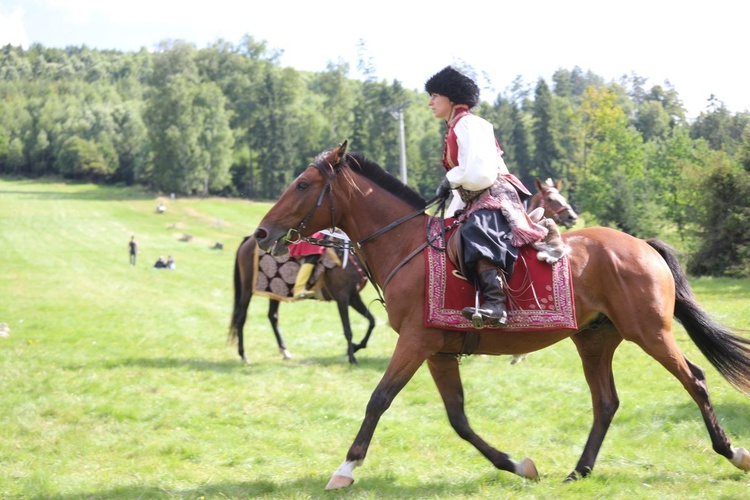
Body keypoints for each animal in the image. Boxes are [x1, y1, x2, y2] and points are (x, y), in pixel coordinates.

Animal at [228, 234, 376, 364]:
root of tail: (248, 240)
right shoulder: (342, 298)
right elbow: (348, 330)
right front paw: (352, 357)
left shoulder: (353, 297)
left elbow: (372, 321)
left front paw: (357, 347)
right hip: (248, 288)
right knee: (241, 317)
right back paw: (243, 355)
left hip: (275, 289)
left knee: (272, 316)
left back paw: (284, 351)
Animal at [254, 142, 750, 492]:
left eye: (302, 185)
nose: (261, 232)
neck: (407, 246)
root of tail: (643, 245)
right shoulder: (437, 351)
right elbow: (458, 419)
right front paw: (518, 465)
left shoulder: (414, 343)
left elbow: (379, 400)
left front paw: (346, 468)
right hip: (594, 340)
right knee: (606, 402)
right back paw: (579, 471)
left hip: (649, 332)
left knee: (695, 379)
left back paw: (732, 452)